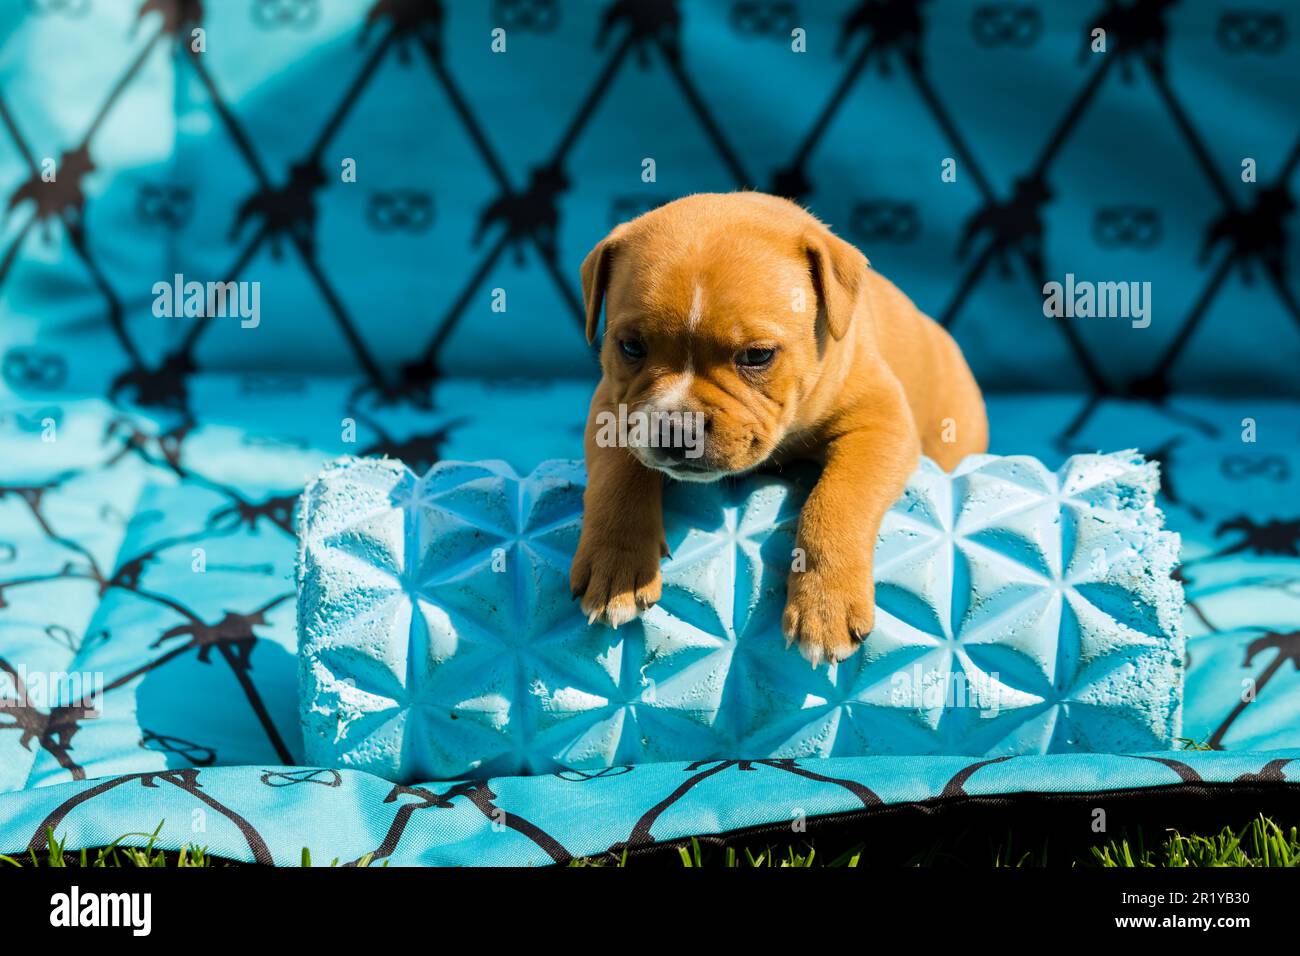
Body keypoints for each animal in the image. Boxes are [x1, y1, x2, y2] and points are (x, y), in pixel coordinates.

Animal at [569, 192, 982, 665]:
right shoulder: (613, 408)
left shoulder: (880, 421)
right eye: (631, 347)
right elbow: (616, 480)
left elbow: (840, 499)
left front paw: (825, 603)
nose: (678, 426)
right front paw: (616, 566)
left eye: (758, 355)